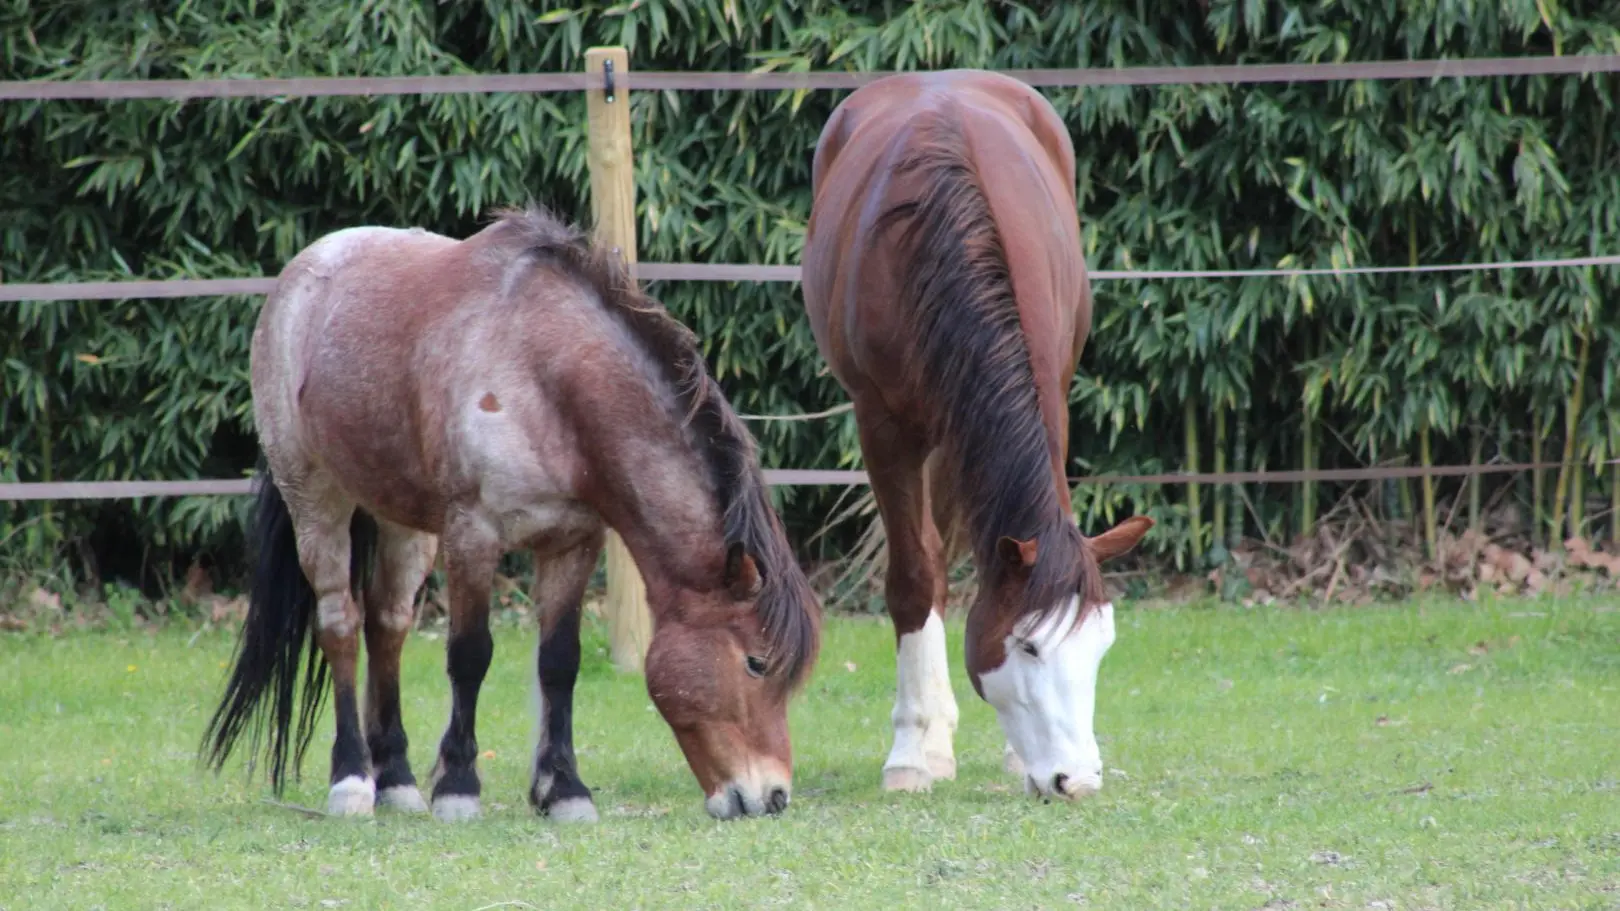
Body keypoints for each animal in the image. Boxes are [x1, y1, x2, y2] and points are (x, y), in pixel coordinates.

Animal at [201, 204, 822, 822]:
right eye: (756, 663)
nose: (773, 797)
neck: (545, 379)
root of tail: (299, 273)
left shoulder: (574, 543)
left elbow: (560, 662)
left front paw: (564, 789)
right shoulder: (472, 537)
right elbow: (470, 655)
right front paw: (458, 786)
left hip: (402, 521)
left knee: (389, 625)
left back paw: (397, 780)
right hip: (315, 498)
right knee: (341, 626)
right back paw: (352, 782)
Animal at [800, 70, 1153, 801]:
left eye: (1100, 647)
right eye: (1028, 645)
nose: (1076, 779)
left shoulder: (1053, 396)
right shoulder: (883, 425)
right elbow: (915, 575)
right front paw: (914, 750)